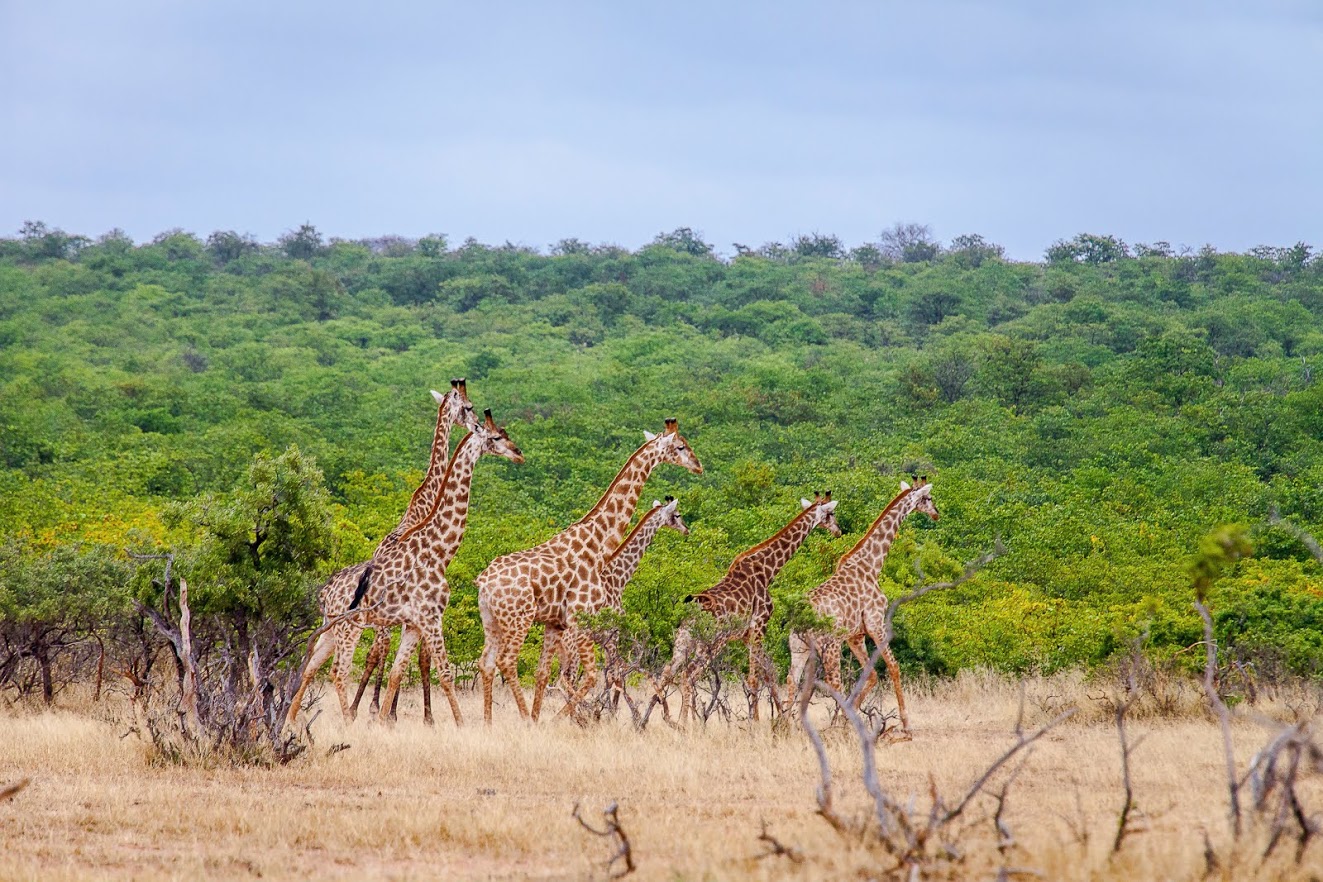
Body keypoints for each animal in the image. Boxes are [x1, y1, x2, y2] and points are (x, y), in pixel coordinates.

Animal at [286, 409, 521, 728]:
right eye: (496, 437)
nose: (519, 453)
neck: (437, 551)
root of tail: (326, 592)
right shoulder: (430, 617)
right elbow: (444, 673)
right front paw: (460, 725)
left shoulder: (412, 624)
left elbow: (398, 671)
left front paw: (383, 721)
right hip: (350, 628)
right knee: (339, 671)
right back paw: (347, 722)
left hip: (332, 628)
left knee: (312, 665)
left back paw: (291, 720)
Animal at [542, 496, 689, 712]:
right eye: (677, 515)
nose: (687, 529)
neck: (618, 578)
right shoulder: (613, 635)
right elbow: (616, 676)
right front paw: (614, 711)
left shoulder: (605, 639)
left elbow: (614, 676)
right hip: (573, 649)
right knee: (565, 680)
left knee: (558, 680)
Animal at [656, 493, 841, 723]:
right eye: (831, 513)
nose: (838, 530)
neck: (767, 571)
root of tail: (694, 611)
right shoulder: (759, 626)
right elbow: (755, 677)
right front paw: (757, 722)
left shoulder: (746, 635)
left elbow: (769, 673)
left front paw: (779, 718)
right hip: (711, 642)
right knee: (688, 674)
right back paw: (684, 723)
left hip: (683, 640)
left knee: (667, 672)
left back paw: (664, 719)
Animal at [786, 478, 939, 737]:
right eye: (928, 498)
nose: (936, 513)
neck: (871, 565)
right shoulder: (876, 623)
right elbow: (893, 667)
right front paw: (906, 724)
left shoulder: (855, 636)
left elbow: (872, 675)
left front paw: (846, 719)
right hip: (829, 645)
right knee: (834, 683)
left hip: (799, 647)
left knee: (791, 679)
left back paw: (782, 725)